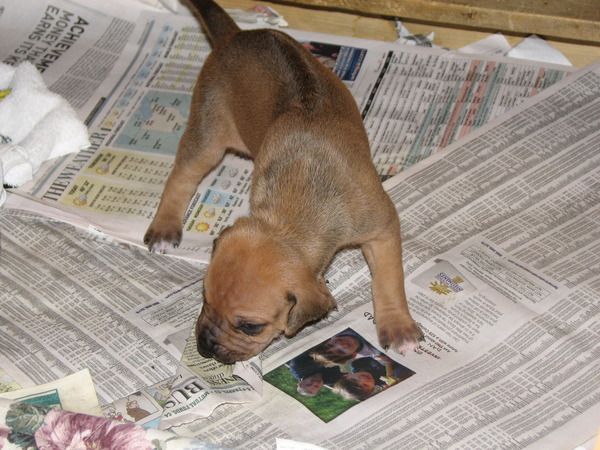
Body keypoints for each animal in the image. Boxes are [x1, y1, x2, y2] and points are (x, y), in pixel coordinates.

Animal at [144, 0, 424, 364]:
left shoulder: (381, 229)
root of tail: (235, 35)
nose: (204, 347)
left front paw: (398, 327)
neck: (292, 216)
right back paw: (165, 226)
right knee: (181, 177)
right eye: (205, 298)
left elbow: (389, 279)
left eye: (250, 326)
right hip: (208, 133)